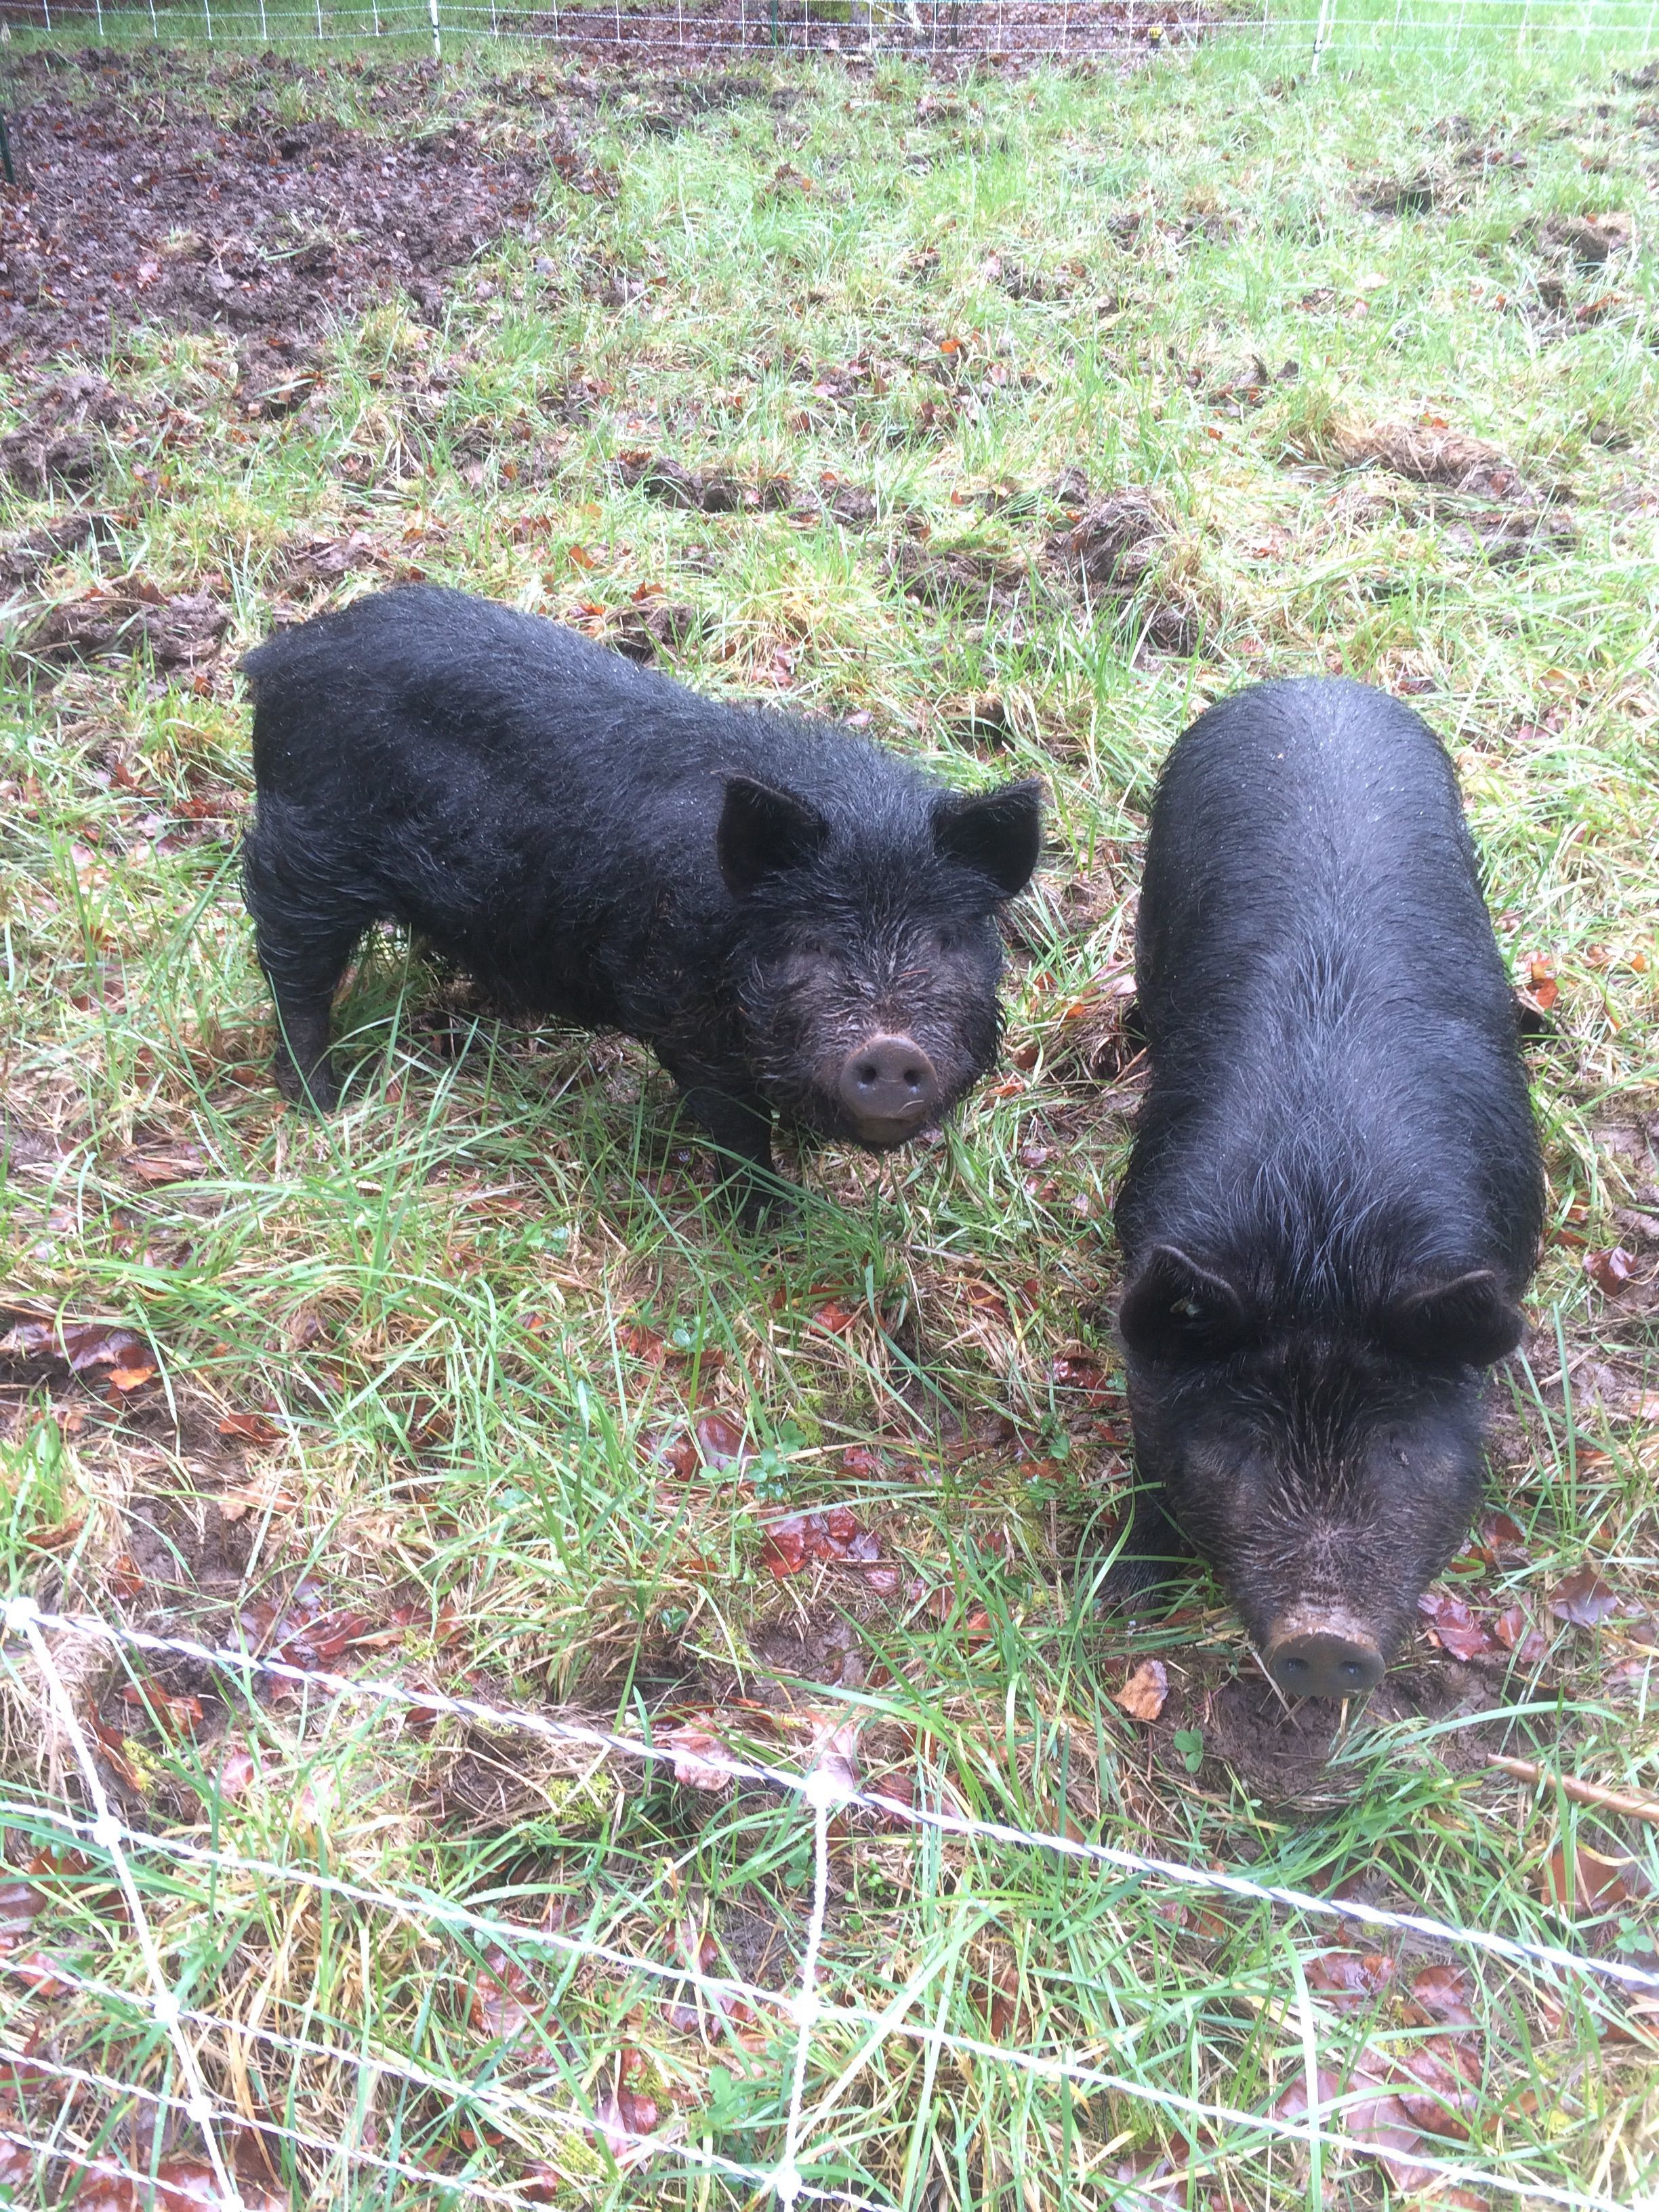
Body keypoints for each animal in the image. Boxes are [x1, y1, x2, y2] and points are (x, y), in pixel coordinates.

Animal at [237, 579, 1040, 1221]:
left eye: (944, 939)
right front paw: (768, 1224)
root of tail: (280, 657)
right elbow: (735, 1122)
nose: (892, 1049)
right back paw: (322, 1104)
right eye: (813, 943)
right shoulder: (675, 1002)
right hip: (304, 852)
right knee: (292, 972)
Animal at [1110, 672, 1557, 1689]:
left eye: (1396, 1446)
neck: (1322, 1235)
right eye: (1243, 1447)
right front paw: (1129, 1595)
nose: (1322, 1638)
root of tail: (1313, 685)